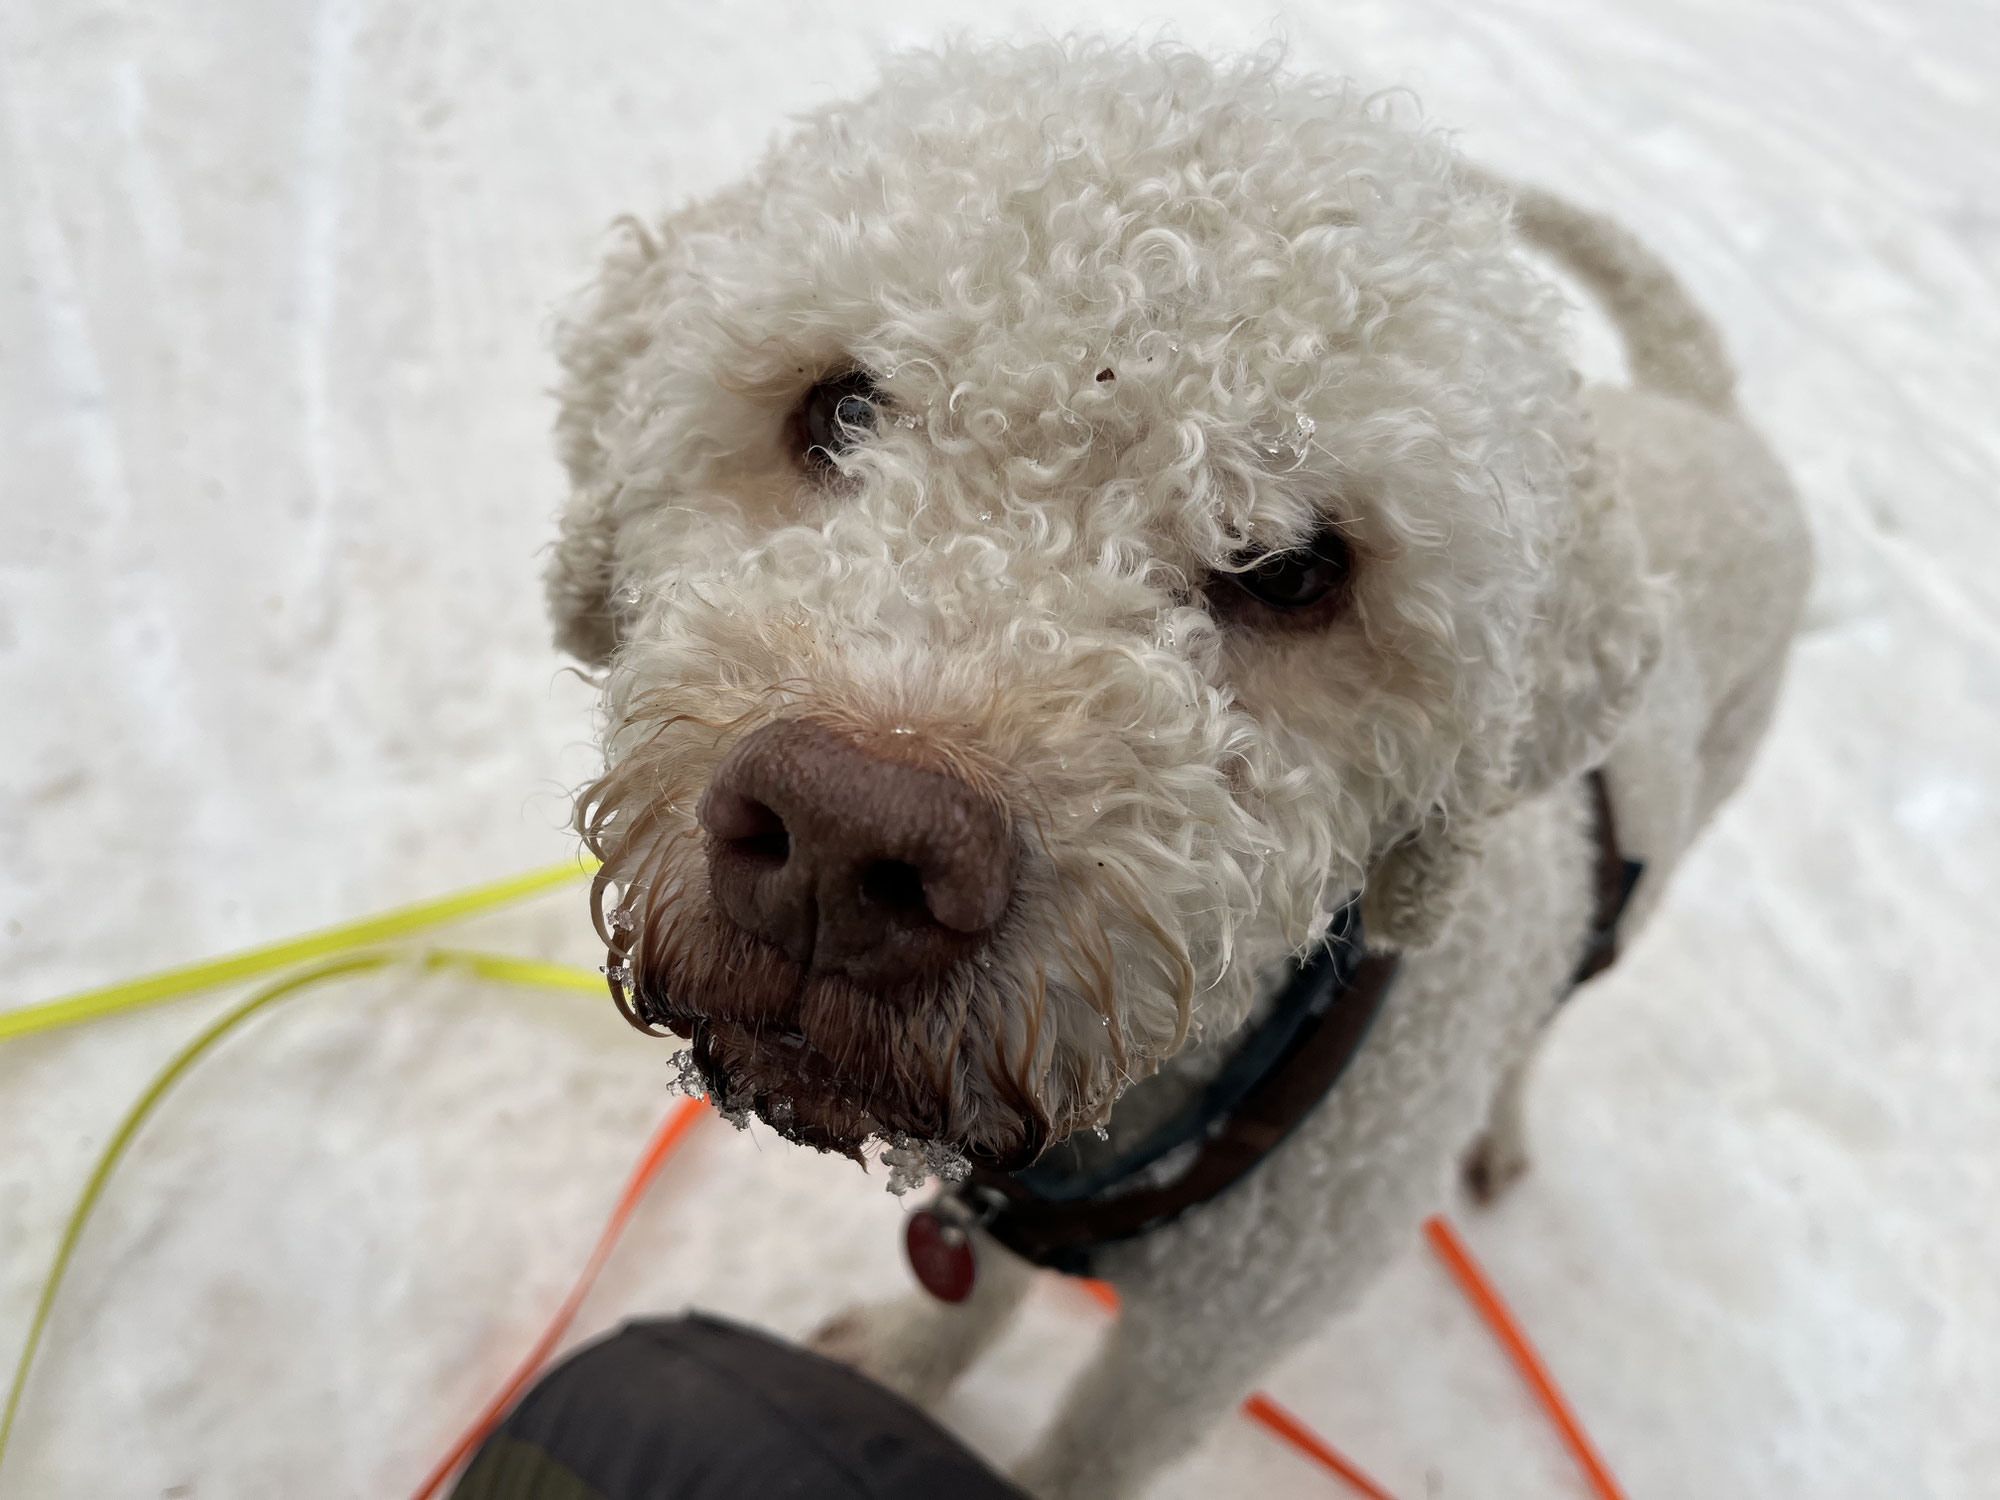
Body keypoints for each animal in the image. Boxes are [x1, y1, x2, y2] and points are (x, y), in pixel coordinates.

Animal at [544, 38, 1816, 1500]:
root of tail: (1701, 412)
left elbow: (1089, 1454)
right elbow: (960, 1302)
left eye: (1299, 570)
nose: (844, 841)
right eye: (842, 406)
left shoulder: (1204, 1347)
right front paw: (896, 1374)